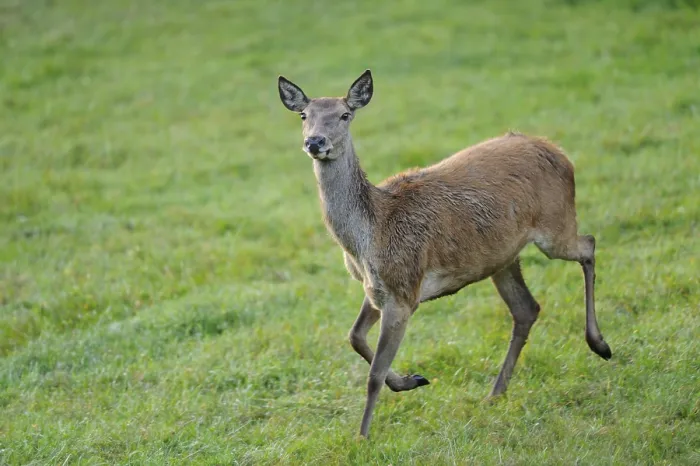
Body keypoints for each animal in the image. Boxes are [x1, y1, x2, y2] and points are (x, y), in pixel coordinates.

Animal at [277, 69, 612, 439]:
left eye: (345, 115)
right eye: (304, 115)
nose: (315, 142)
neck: (369, 236)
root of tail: (560, 153)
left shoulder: (404, 289)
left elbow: (374, 373)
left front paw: (362, 437)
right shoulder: (376, 289)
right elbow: (354, 336)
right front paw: (412, 380)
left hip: (555, 227)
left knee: (589, 244)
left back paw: (600, 345)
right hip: (502, 258)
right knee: (527, 308)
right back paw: (495, 393)